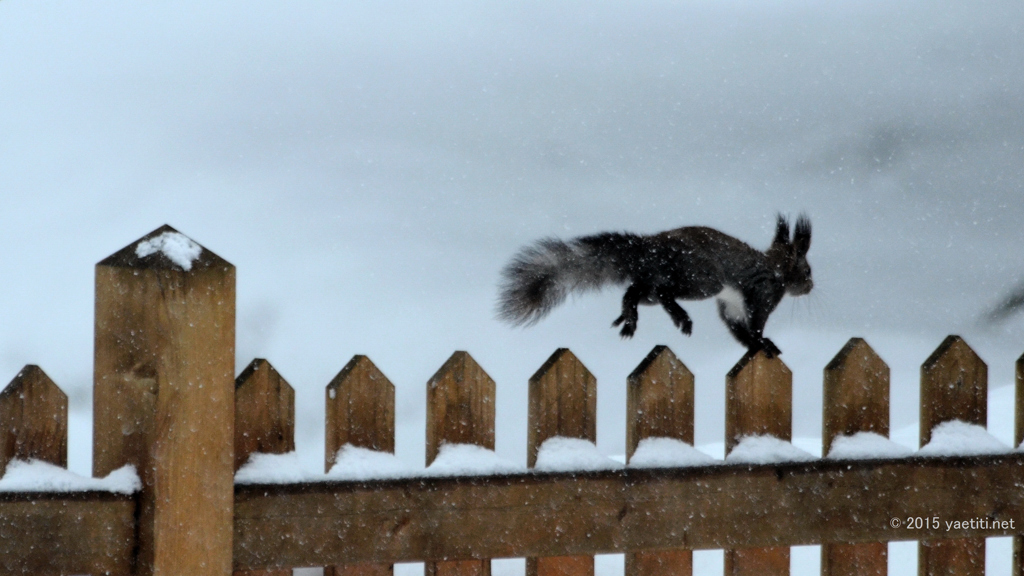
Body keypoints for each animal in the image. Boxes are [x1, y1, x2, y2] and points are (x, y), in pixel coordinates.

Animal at [499, 213, 811, 354]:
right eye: (807, 271)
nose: (810, 287)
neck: (775, 269)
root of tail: (652, 246)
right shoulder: (763, 293)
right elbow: (756, 322)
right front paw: (763, 342)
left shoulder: (731, 304)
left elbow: (736, 327)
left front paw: (752, 344)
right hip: (701, 278)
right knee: (663, 292)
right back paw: (679, 317)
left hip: (658, 280)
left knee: (635, 290)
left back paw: (628, 315)